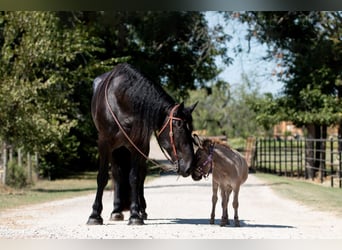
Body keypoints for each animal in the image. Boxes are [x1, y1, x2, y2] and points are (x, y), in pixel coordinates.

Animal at [87, 63, 196, 226]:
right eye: (178, 126)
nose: (189, 166)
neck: (120, 100)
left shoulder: (138, 145)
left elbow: (134, 178)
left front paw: (135, 215)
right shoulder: (104, 143)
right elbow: (102, 177)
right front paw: (94, 215)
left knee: (141, 175)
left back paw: (141, 210)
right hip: (116, 149)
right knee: (117, 174)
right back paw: (116, 211)